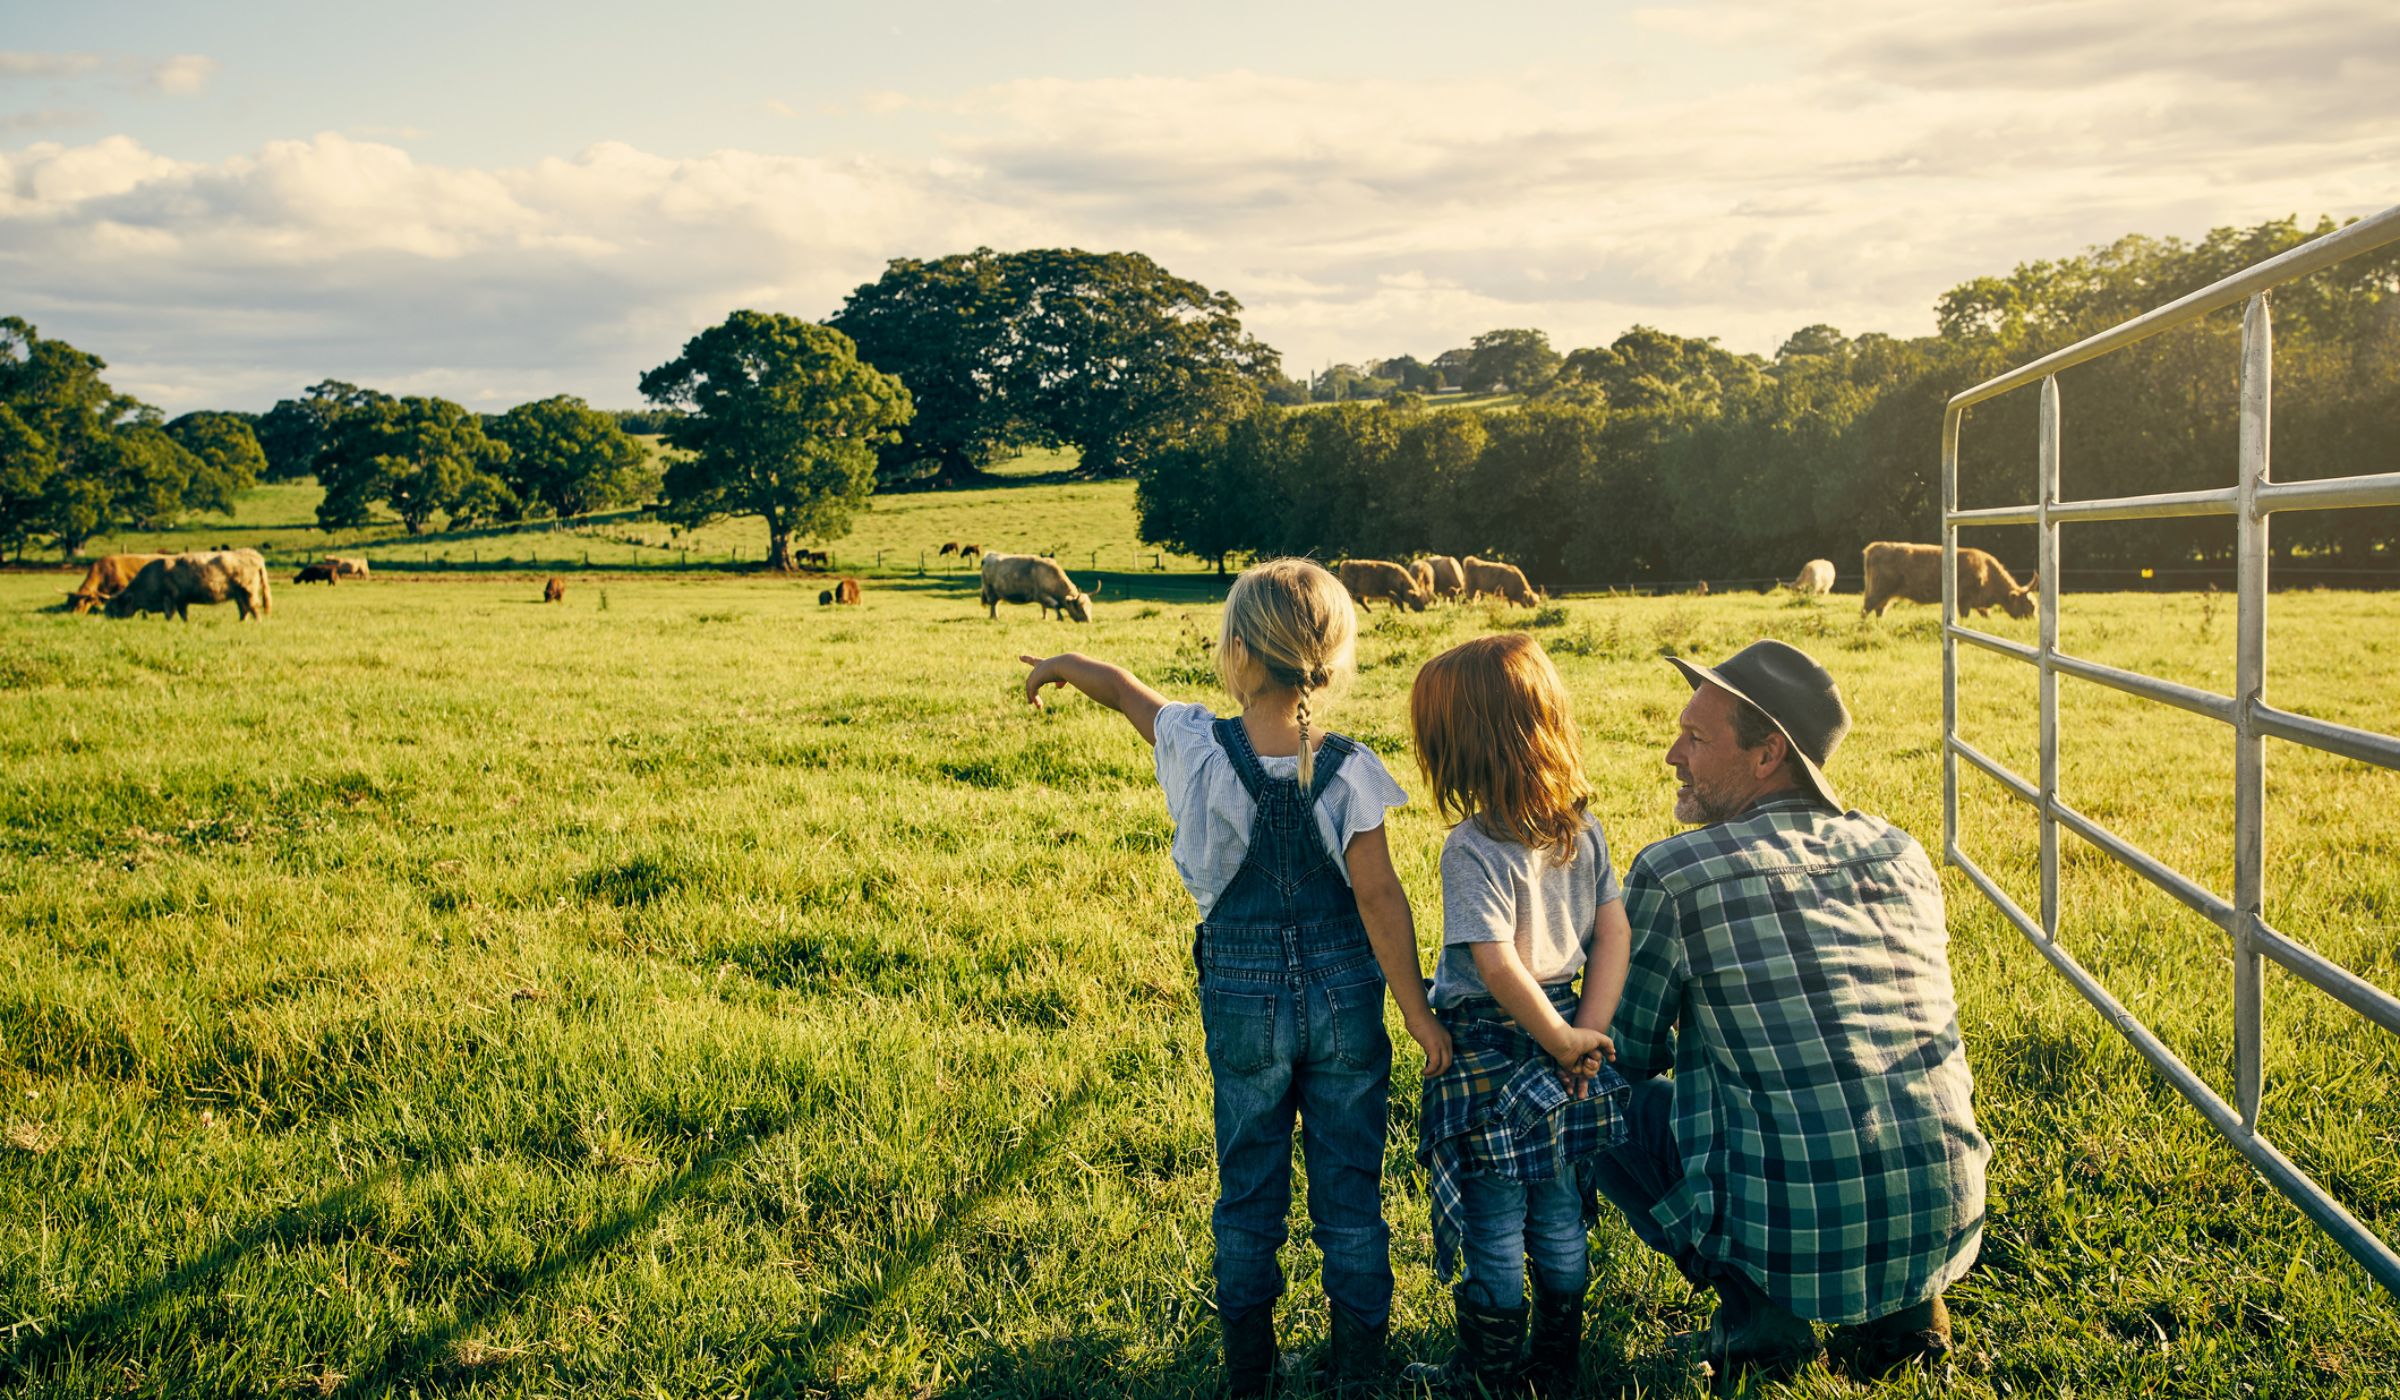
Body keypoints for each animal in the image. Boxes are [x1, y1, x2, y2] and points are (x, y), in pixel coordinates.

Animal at [106, 552, 273, 624]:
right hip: (239, 594)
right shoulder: (181, 601)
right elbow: (183, 614)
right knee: (244, 609)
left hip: (248, 591)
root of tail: (252, 554)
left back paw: (257, 623)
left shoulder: (169, 599)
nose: (107, 618)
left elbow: (169, 614)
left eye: (114, 607)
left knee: (253, 607)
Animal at [1862, 542, 2035, 619]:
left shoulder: (1979, 602)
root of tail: (1874, 547)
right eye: (2030, 606)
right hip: (1879, 589)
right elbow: (1965, 615)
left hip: (1886, 593)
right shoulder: (1964, 599)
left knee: (1879, 609)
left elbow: (1987, 615)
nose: (2032, 621)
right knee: (1867, 608)